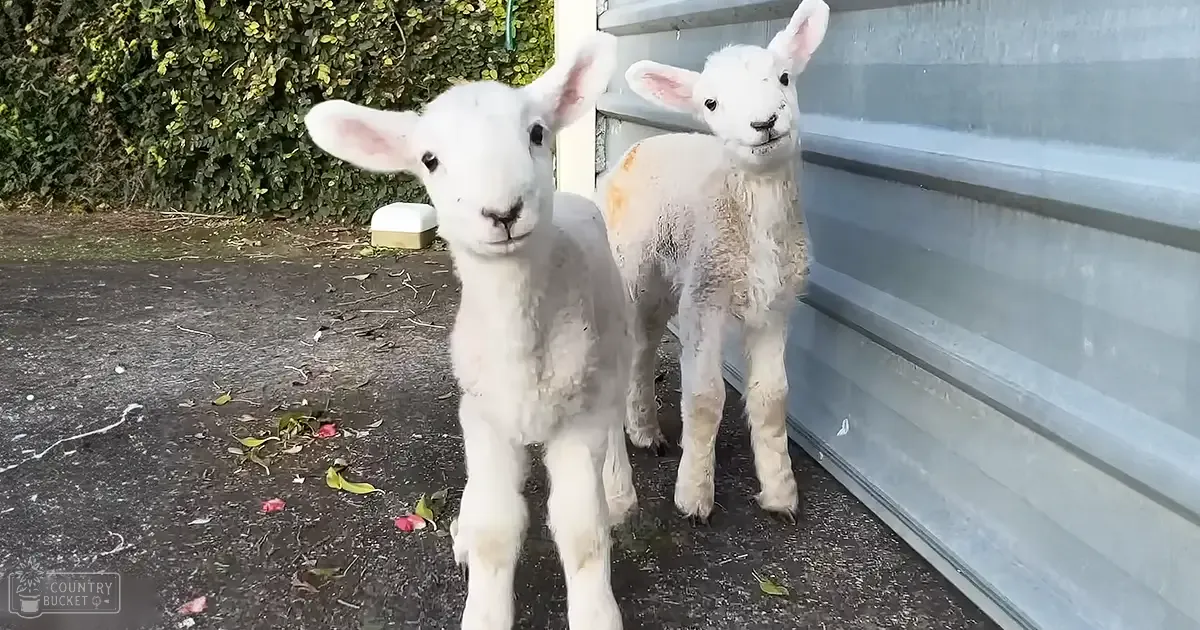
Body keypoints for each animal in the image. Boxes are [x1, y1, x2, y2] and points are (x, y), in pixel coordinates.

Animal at [303, 31, 636, 630]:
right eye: (429, 159)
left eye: (536, 133)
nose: (502, 212)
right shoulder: (483, 416)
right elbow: (494, 530)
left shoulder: (579, 419)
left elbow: (582, 531)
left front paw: (597, 612)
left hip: (613, 352)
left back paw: (620, 491)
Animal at [597, 0, 830, 525]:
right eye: (710, 104)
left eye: (784, 76)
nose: (764, 123)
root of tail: (637, 149)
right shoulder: (706, 297)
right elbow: (705, 399)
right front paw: (694, 496)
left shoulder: (776, 304)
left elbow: (771, 398)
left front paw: (780, 492)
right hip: (627, 266)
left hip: (662, 282)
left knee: (642, 348)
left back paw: (644, 429)